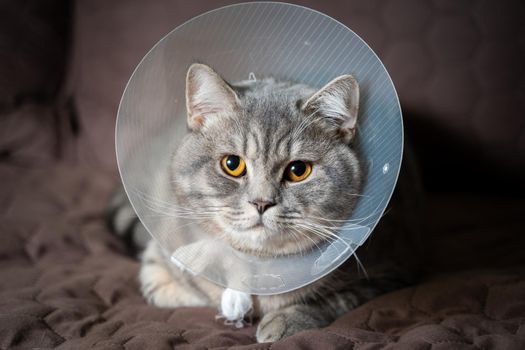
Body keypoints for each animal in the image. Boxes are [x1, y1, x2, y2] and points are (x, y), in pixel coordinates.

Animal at [107, 63, 422, 342]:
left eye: (298, 170)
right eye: (232, 164)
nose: (261, 203)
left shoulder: (393, 271)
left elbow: (337, 299)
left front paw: (284, 319)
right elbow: (168, 283)